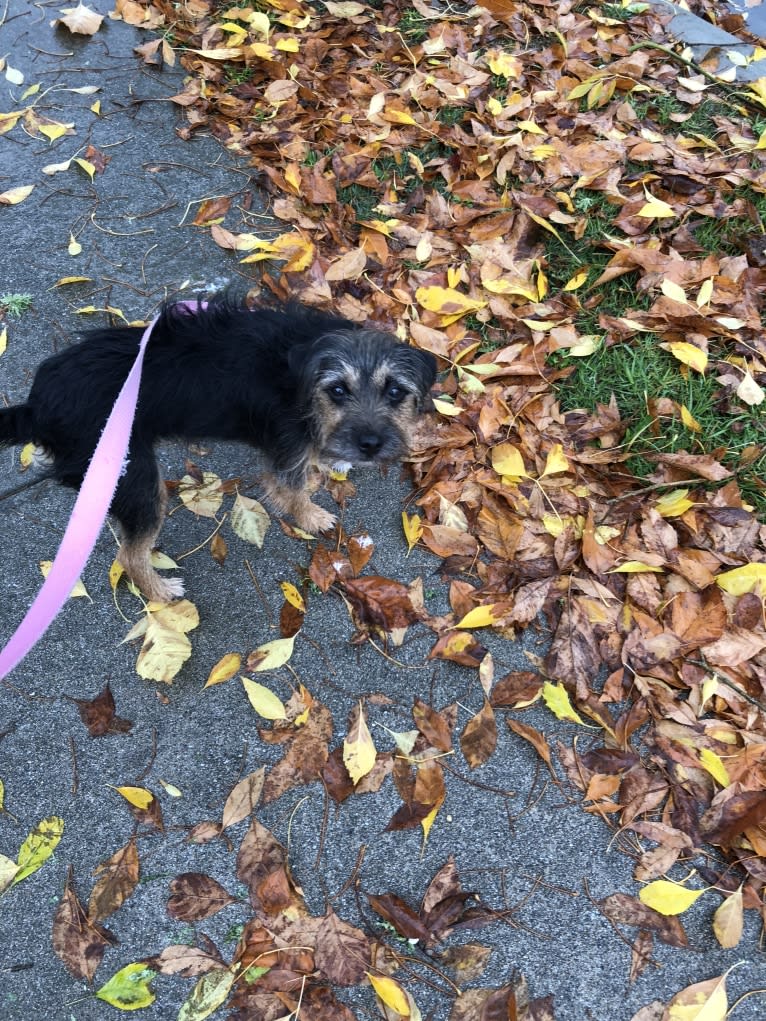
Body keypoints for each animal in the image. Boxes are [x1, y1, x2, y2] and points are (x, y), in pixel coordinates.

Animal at [0, 289, 437, 596]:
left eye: (395, 391)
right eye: (338, 390)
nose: (370, 444)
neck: (300, 370)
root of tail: (36, 407)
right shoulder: (285, 448)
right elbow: (292, 489)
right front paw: (311, 515)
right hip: (134, 480)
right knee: (129, 554)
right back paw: (160, 592)